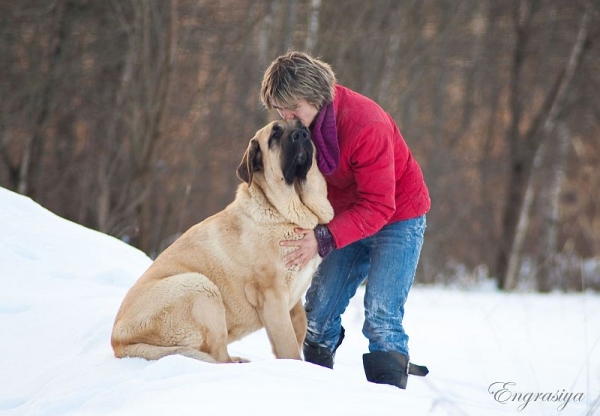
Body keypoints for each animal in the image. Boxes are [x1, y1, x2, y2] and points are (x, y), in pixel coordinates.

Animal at [110, 118, 336, 362]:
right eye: (275, 135)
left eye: (302, 126)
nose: (301, 135)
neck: (284, 212)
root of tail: (118, 344)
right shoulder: (272, 296)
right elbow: (289, 347)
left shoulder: (292, 300)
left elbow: (299, 327)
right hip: (201, 287)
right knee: (218, 356)